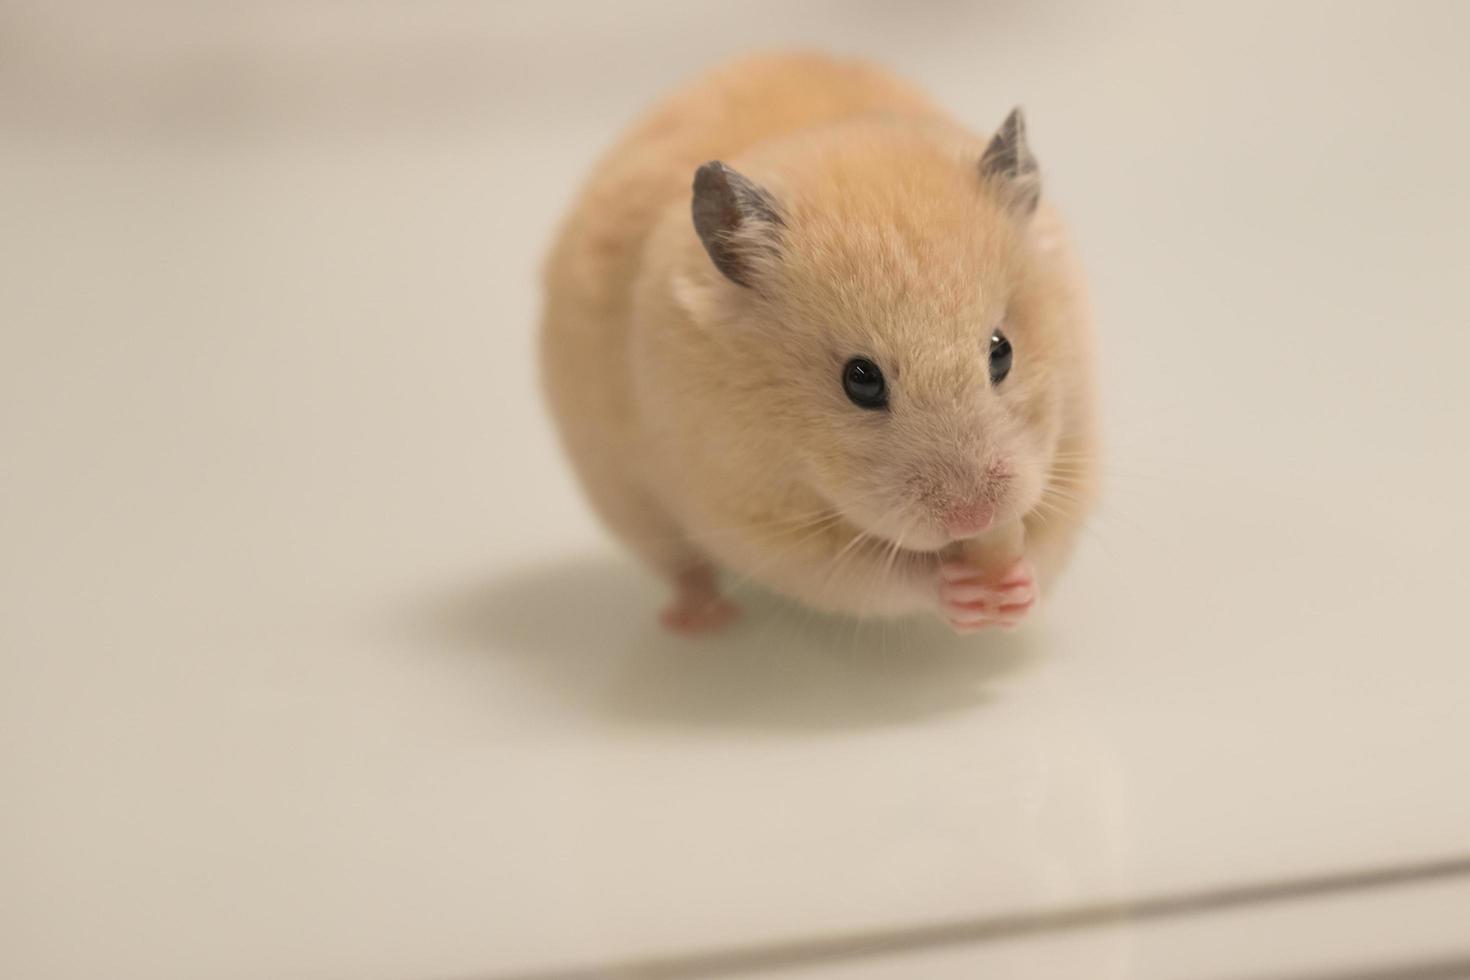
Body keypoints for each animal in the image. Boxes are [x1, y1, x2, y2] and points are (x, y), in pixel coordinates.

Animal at [540, 51, 1093, 637]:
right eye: (861, 381)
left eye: (1002, 351)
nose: (975, 517)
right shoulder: (757, 520)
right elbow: (872, 576)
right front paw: (961, 591)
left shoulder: (1079, 444)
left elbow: (1050, 538)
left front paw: (1012, 591)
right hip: (623, 498)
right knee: (683, 568)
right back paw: (702, 622)